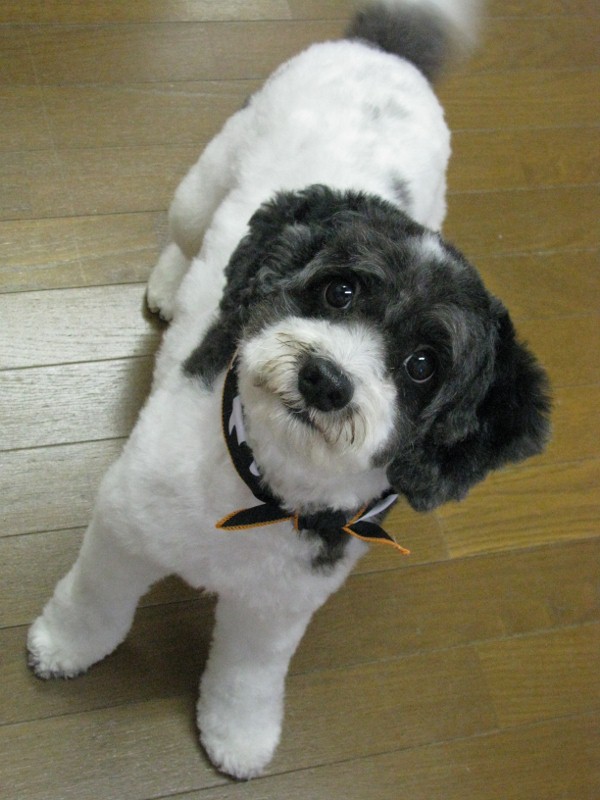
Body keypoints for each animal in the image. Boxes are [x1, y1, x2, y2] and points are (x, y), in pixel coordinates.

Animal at [27, 0, 550, 780]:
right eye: (340, 291)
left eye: (422, 364)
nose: (325, 379)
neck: (262, 489)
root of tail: (384, 51)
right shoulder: (124, 529)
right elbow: (95, 603)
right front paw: (62, 647)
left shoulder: (277, 610)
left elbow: (249, 677)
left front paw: (239, 735)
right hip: (203, 184)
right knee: (184, 236)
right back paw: (169, 285)